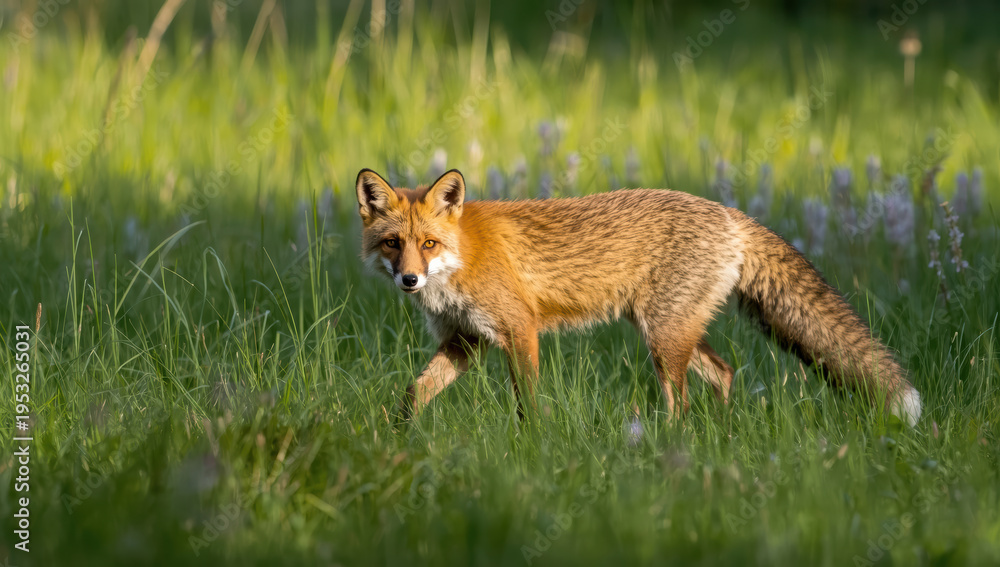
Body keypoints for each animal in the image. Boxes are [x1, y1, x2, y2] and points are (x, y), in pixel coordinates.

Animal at [355, 167, 922, 426]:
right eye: (393, 244)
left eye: (429, 244)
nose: (409, 280)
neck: (465, 256)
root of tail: (731, 214)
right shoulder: (464, 341)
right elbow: (414, 393)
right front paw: (394, 435)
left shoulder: (519, 331)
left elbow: (527, 404)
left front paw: (531, 444)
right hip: (674, 333)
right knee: (725, 372)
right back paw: (722, 436)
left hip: (663, 339)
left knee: (682, 404)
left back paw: (669, 451)